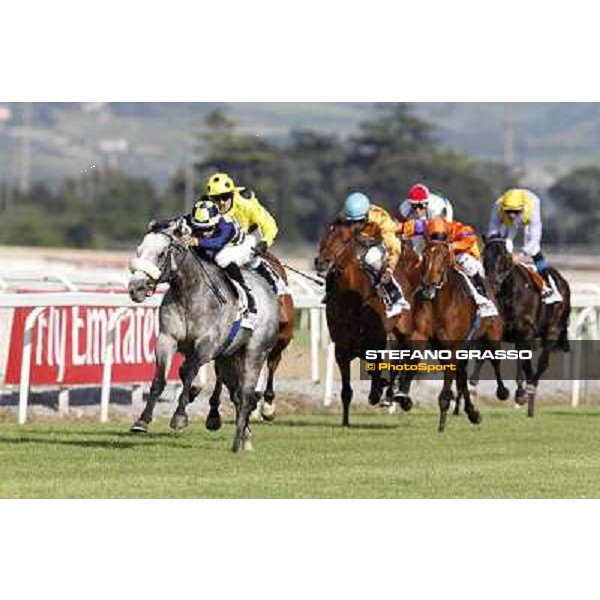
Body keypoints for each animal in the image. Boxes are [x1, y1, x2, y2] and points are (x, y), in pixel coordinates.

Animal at [129, 219, 278, 450]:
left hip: (255, 352)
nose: (135, 288)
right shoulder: (166, 339)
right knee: (236, 393)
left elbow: (188, 370)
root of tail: (269, 290)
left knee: (245, 394)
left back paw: (240, 437)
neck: (189, 294)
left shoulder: (208, 344)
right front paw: (142, 420)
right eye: (139, 250)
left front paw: (179, 416)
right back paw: (242, 433)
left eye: (161, 254)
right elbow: (161, 378)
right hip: (228, 357)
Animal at [312, 220, 414, 426]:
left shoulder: (377, 343)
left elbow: (378, 375)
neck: (353, 301)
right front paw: (345, 421)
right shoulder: (342, 350)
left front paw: (380, 392)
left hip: (403, 331)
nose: (322, 261)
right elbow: (347, 390)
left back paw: (400, 396)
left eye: (344, 238)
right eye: (324, 236)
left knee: (404, 359)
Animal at [474, 236, 572, 418]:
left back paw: (529, 391)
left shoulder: (525, 332)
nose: (492, 284)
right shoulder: (497, 330)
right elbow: (487, 355)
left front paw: (523, 393)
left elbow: (527, 365)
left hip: (553, 331)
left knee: (542, 363)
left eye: (505, 257)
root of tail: (562, 280)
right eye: (484, 256)